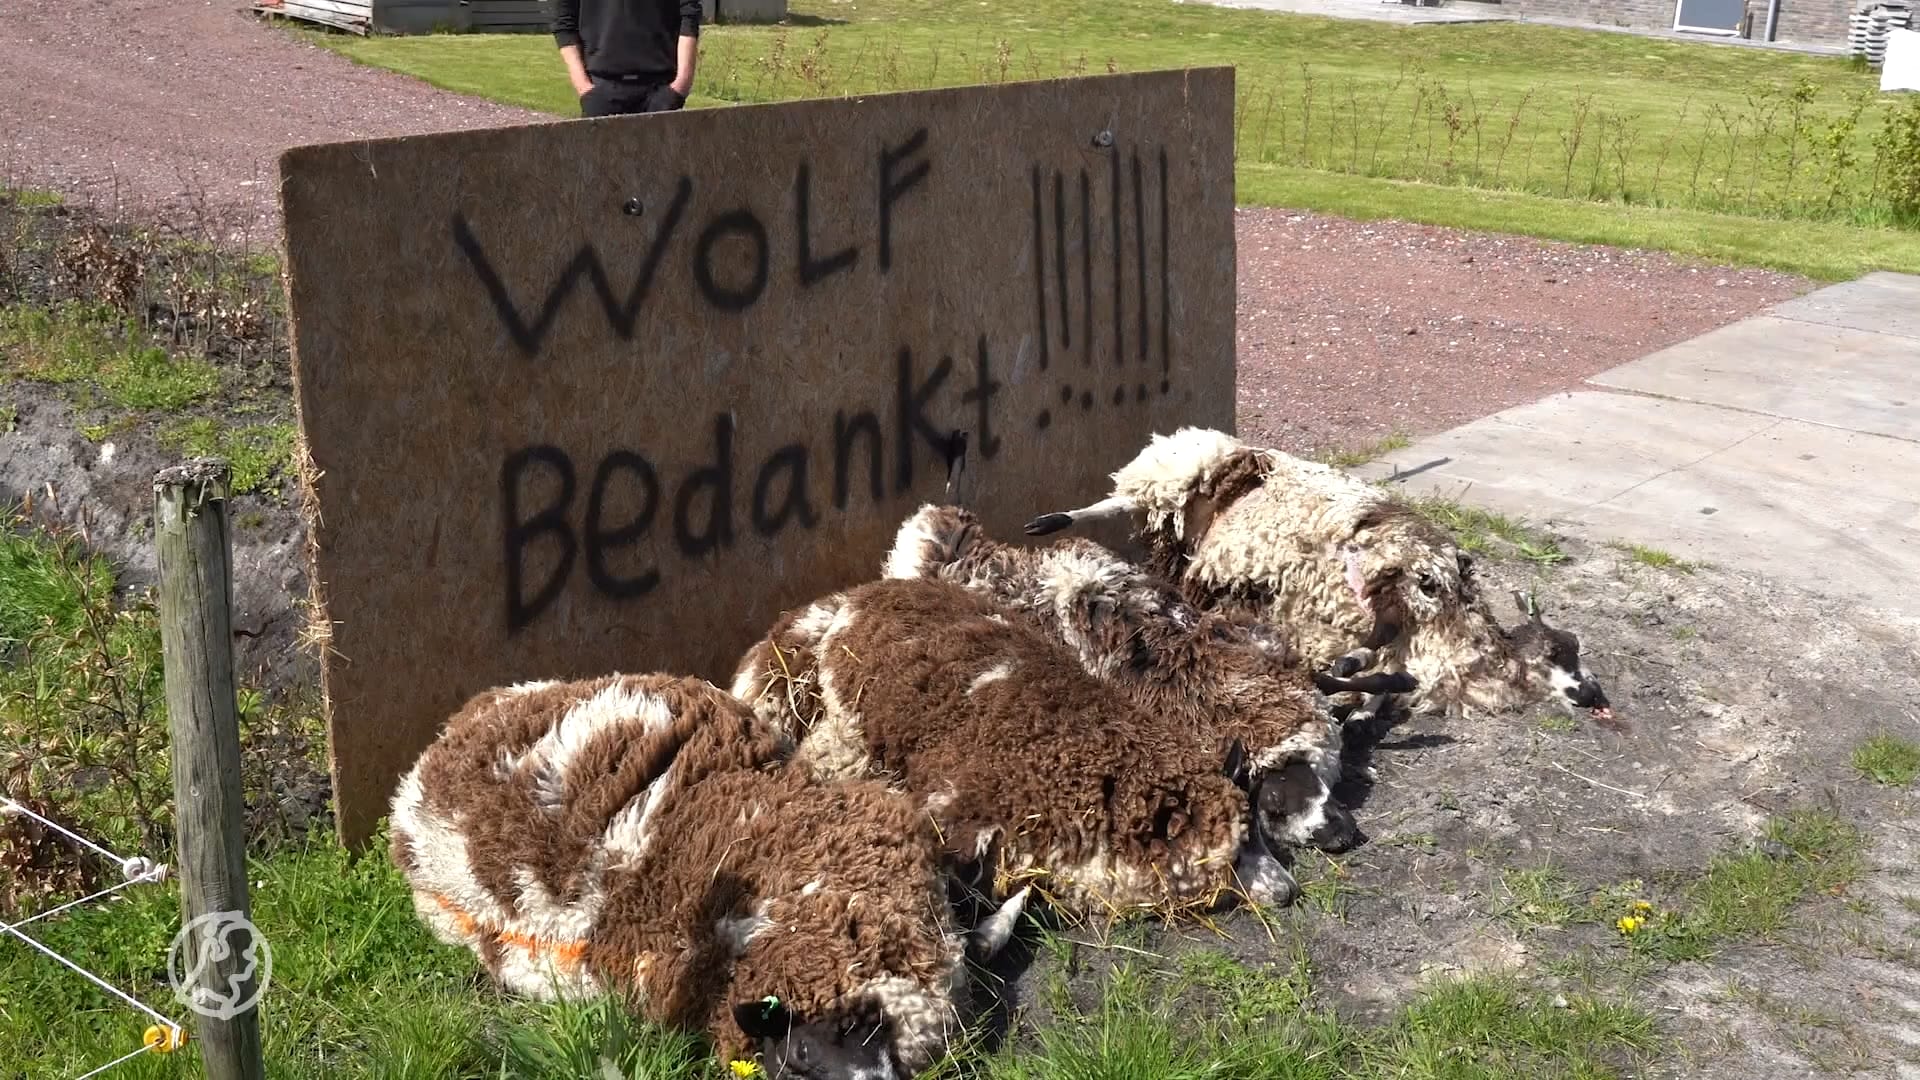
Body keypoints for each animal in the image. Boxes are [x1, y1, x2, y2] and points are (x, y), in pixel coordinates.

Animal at [729, 576, 1305, 910]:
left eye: (1258, 836)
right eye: (1235, 852)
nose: (1289, 892)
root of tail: (862, 592)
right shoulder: (957, 809)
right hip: (839, 722)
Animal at [1029, 422, 1612, 722]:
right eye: (1558, 651)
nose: (1592, 695)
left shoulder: (1347, 638)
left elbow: (1367, 679)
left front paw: (1360, 697)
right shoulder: (1389, 586)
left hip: (1184, 524)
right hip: (1177, 469)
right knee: (1119, 500)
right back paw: (1049, 520)